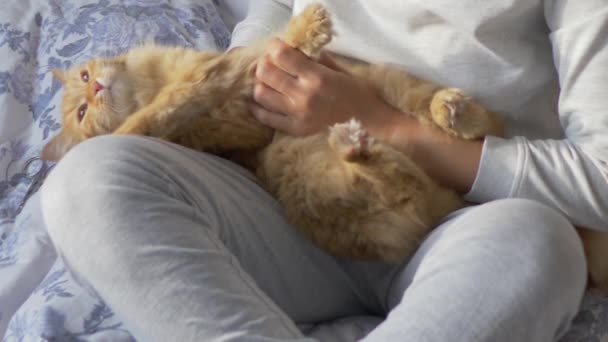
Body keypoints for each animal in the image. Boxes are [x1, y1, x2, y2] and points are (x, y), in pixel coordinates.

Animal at [44, 3, 608, 286]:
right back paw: (358, 147)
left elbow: (265, 51)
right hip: (316, 174)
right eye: (81, 110)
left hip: (395, 89)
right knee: (397, 185)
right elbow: (160, 113)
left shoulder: (233, 71)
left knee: (478, 128)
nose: (95, 90)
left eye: (86, 77)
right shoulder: (223, 85)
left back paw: (451, 111)